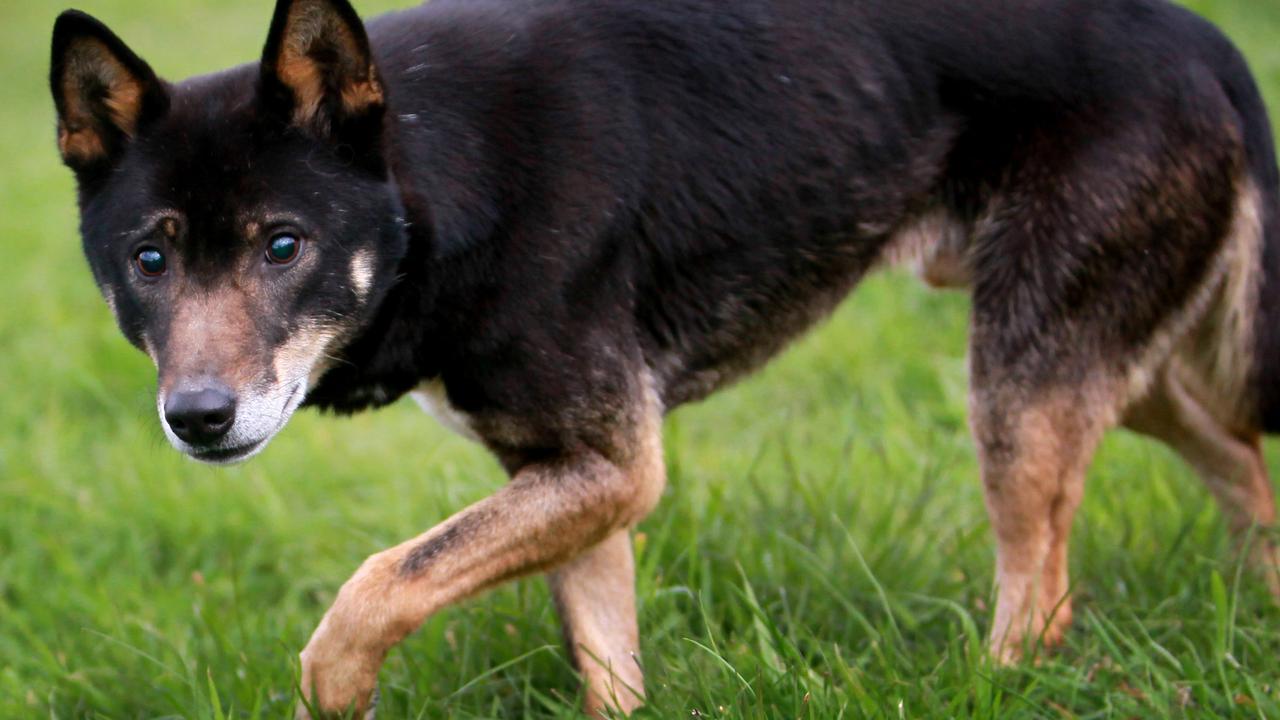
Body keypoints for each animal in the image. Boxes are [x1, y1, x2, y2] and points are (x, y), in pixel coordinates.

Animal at [49, 0, 1280, 712]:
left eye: (284, 245)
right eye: (149, 259)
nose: (198, 419)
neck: (429, 175)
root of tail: (1205, 39)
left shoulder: (611, 468)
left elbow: (378, 582)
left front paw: (335, 686)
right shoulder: (573, 476)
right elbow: (602, 663)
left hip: (1021, 377)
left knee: (1044, 591)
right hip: (1113, 353)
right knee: (1236, 455)